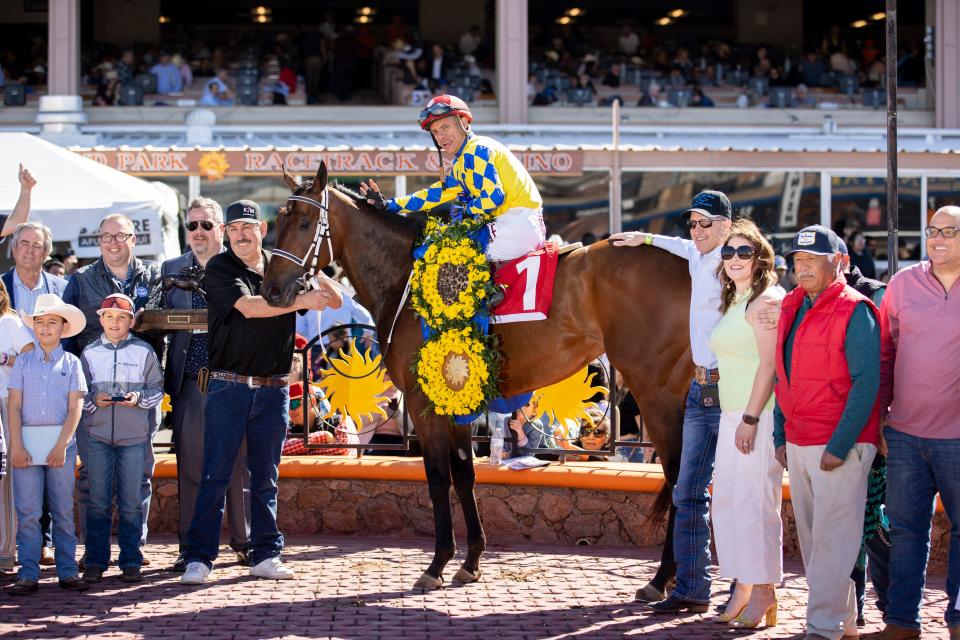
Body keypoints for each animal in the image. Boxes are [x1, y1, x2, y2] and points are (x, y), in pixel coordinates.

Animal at [264, 162, 696, 592]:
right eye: (276, 222)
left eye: (303, 223)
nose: (270, 290)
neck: (405, 280)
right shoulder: (456, 397)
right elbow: (464, 473)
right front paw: (470, 561)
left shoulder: (423, 401)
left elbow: (438, 477)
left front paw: (436, 564)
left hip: (653, 388)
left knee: (679, 475)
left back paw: (662, 578)